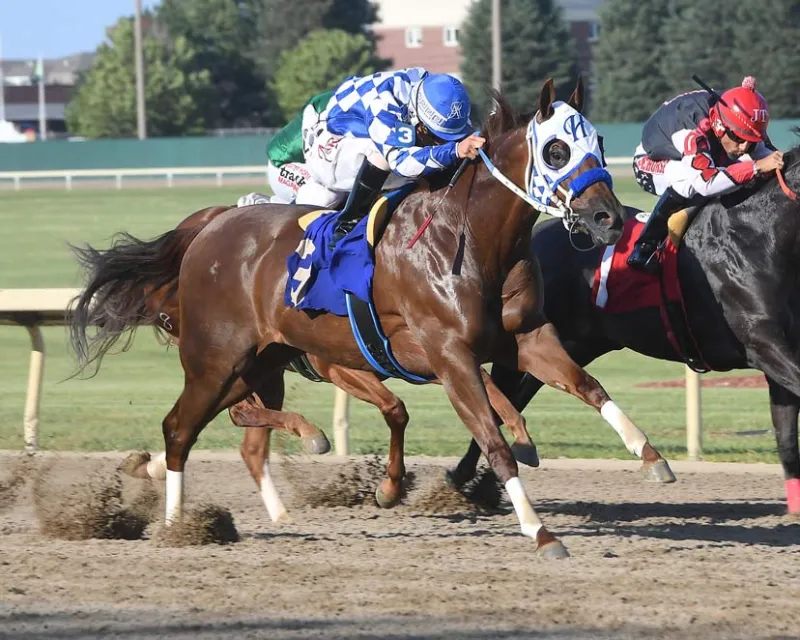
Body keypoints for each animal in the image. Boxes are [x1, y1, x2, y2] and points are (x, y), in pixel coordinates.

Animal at [71, 78, 658, 558]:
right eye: (557, 150)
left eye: (599, 144)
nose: (608, 218)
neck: (467, 236)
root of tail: (211, 226)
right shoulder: (446, 355)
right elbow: (490, 440)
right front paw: (540, 531)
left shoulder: (526, 336)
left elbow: (587, 386)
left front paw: (651, 456)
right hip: (216, 359)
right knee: (179, 429)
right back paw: (179, 526)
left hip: (257, 364)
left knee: (236, 428)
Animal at [451, 149, 800, 516]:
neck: (757, 237)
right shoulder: (764, 345)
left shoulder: (777, 353)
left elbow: (786, 436)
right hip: (520, 343)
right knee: (496, 400)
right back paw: (465, 479)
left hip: (573, 345)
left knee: (524, 394)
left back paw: (481, 482)